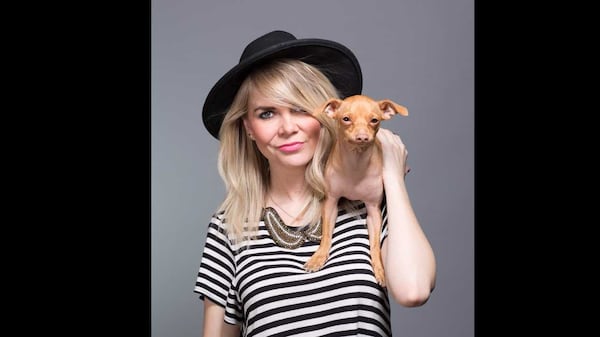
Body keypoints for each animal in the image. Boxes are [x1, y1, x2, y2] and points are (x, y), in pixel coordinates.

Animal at [304, 93, 408, 284]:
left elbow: (375, 245)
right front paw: (318, 257)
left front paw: (380, 269)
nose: (362, 137)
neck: (355, 164)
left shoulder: (373, 211)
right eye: (346, 119)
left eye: (374, 120)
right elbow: (326, 235)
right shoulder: (330, 203)